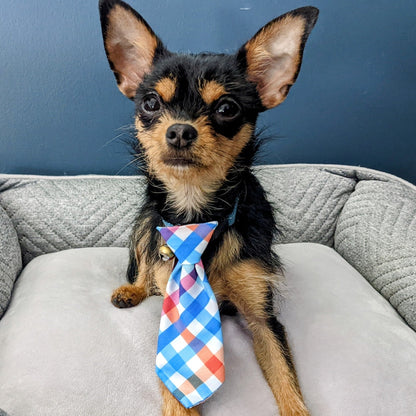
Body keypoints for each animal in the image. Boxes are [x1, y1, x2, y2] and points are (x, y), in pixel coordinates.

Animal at [98, 1, 318, 414]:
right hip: (144, 226)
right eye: (150, 103)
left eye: (227, 108)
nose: (180, 130)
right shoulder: (172, 309)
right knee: (143, 266)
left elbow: (286, 379)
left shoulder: (264, 319)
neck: (197, 211)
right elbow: (175, 390)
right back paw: (131, 290)